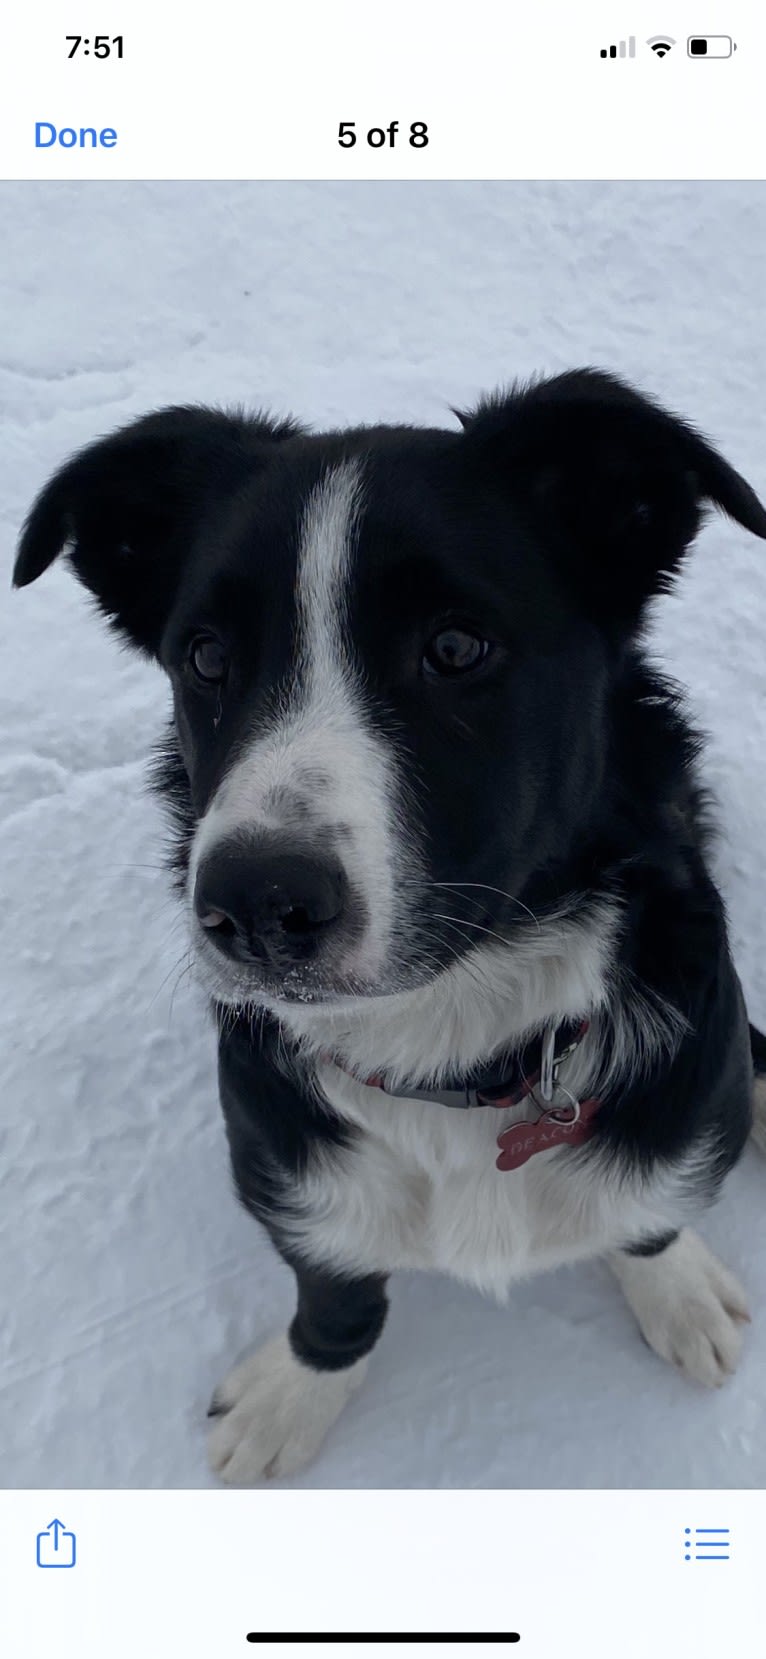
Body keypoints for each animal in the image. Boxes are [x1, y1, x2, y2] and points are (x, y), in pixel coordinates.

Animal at [14, 369, 766, 1486]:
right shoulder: (284, 1172)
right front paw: (295, 1393)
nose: (257, 902)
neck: (449, 1051)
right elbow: (336, 1293)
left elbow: (649, 1221)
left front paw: (673, 1291)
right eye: (205, 655)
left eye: (455, 646)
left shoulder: (679, 1120)